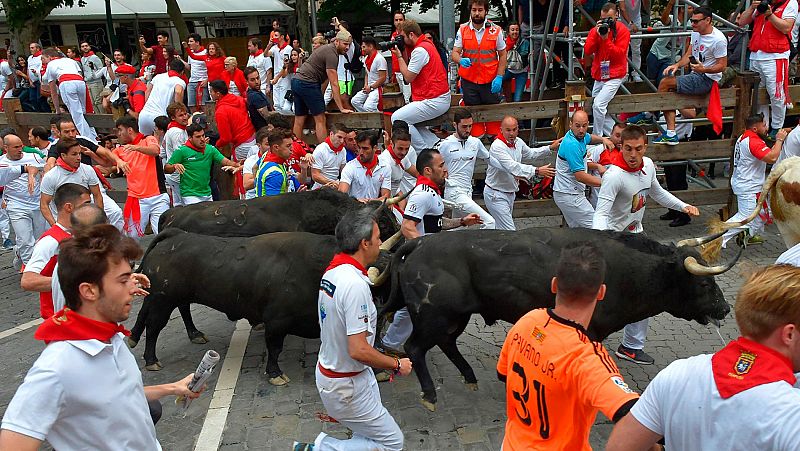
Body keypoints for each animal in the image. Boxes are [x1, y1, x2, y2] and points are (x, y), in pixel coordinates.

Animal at [382, 228, 732, 412]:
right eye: (703, 283)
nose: (725, 309)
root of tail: (421, 241)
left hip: (457, 316)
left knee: (447, 343)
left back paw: (470, 378)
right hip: (433, 314)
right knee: (415, 347)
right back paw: (430, 395)